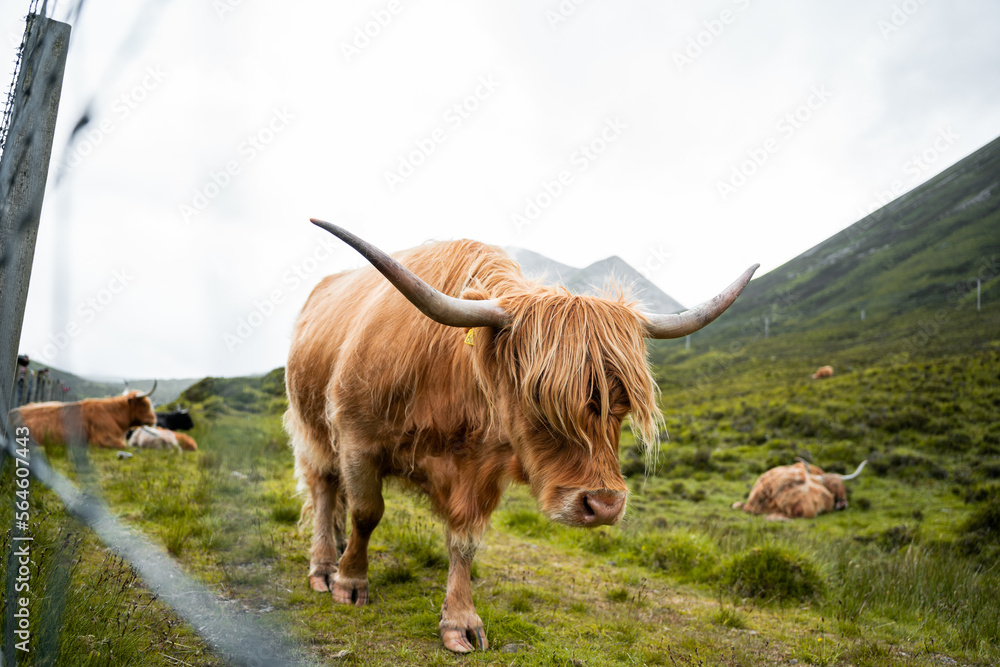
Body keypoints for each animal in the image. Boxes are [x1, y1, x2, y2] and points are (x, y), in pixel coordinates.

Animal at [285, 220, 757, 653]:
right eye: (538, 399)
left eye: (622, 405)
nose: (604, 505)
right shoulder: (357, 440)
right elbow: (367, 513)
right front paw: (351, 580)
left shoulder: (479, 471)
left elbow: (464, 540)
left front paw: (460, 621)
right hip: (314, 431)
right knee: (325, 489)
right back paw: (324, 566)